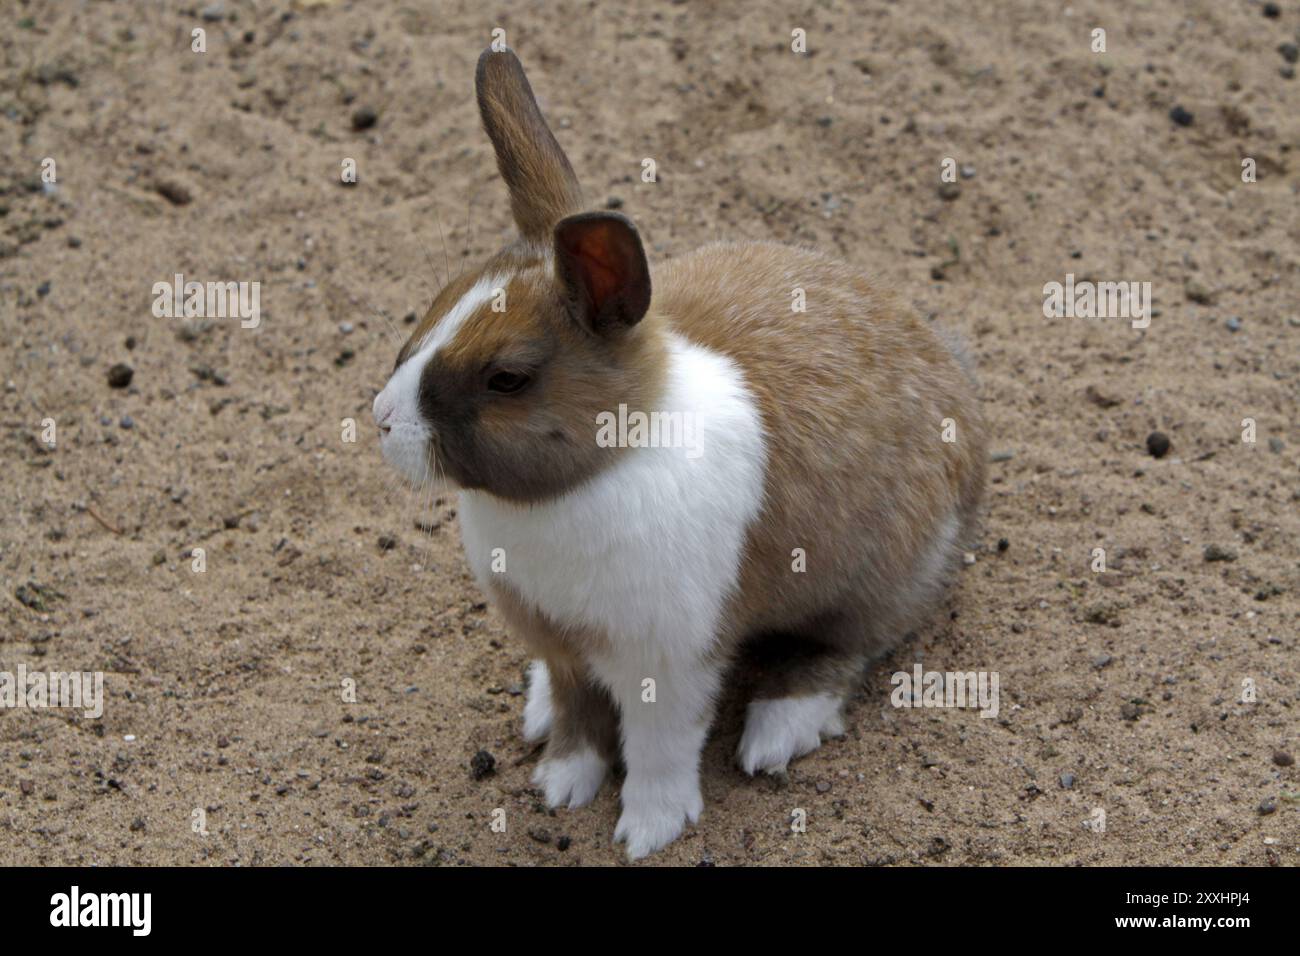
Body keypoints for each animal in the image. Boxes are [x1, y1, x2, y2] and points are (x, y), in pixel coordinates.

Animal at [371, 47, 987, 860]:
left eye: (507, 378)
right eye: (437, 303)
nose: (381, 421)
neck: (604, 466)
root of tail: (964, 405)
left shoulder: (672, 662)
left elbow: (661, 748)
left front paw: (648, 829)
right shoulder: (564, 649)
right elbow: (578, 718)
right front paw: (561, 784)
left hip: (872, 584)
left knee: (843, 652)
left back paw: (774, 732)